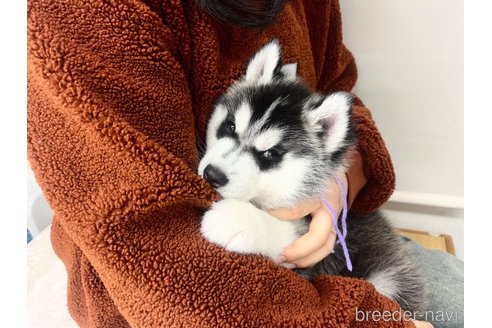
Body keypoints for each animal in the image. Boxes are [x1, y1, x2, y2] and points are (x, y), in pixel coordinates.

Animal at [198, 39, 424, 312]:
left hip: (388, 277)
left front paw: (238, 219)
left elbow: (289, 232)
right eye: (230, 126)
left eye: (270, 154)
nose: (213, 174)